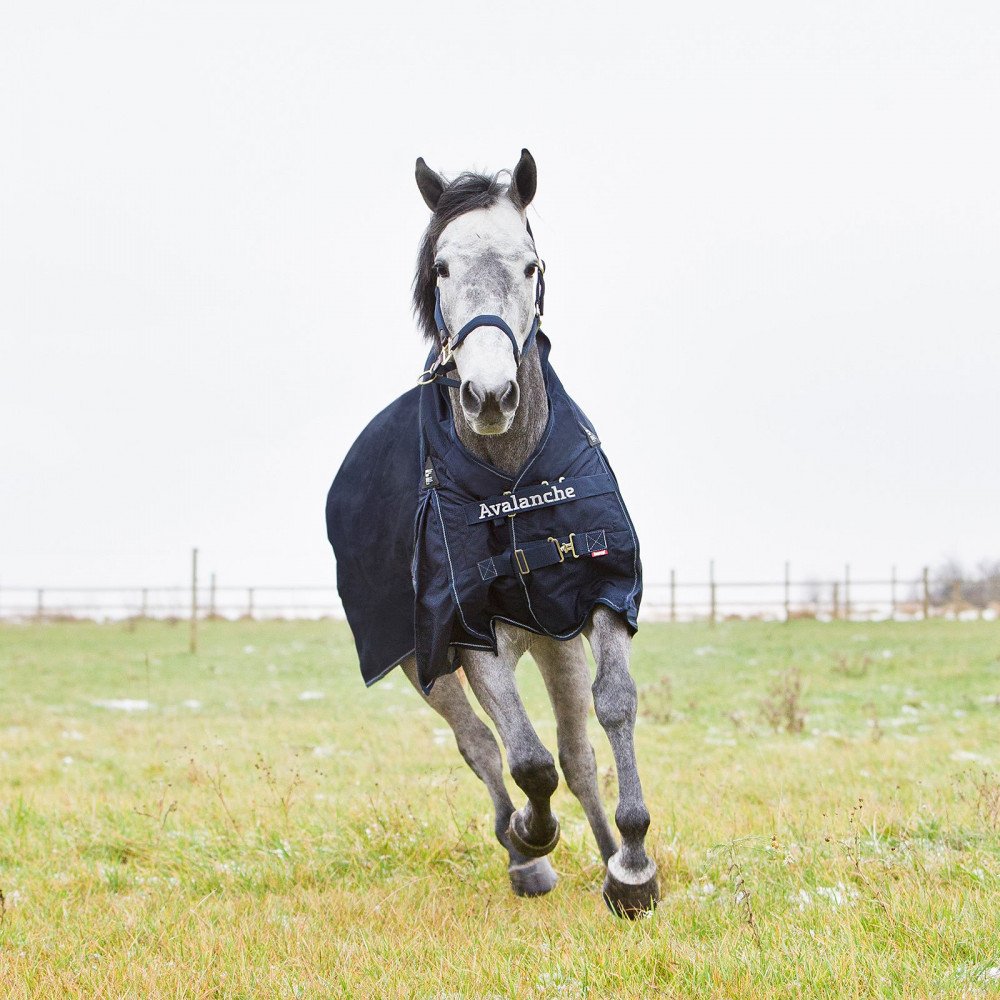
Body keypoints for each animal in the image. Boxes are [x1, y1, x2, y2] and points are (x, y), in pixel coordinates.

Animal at [326, 149, 658, 917]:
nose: (488, 395)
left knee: (576, 752)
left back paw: (605, 856)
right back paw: (522, 856)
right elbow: (526, 760)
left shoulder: (597, 597)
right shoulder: (468, 631)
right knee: (480, 744)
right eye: (442, 267)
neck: (511, 481)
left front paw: (632, 864)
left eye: (530, 265)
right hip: (422, 662)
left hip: (550, 641)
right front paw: (535, 835)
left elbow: (612, 709)